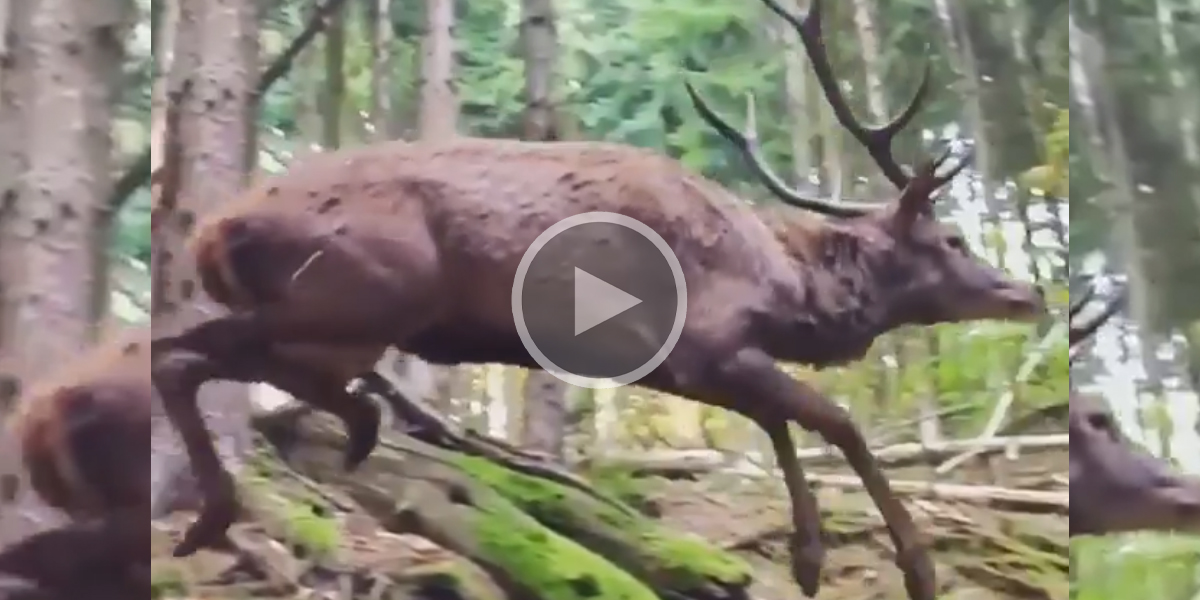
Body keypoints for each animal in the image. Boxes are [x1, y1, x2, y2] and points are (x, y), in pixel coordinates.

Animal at [150, 1, 1046, 595]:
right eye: (954, 241)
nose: (1028, 292)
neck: (782, 282)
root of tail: (213, 233)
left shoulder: (684, 368)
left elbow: (780, 424)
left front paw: (809, 557)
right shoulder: (701, 343)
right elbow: (835, 422)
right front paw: (917, 567)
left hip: (344, 325)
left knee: (220, 365)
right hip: (360, 297)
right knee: (177, 356)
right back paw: (229, 501)